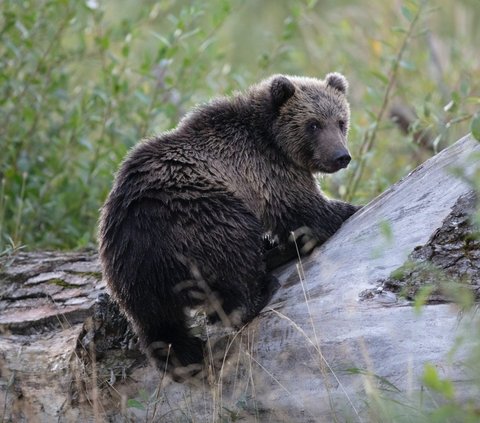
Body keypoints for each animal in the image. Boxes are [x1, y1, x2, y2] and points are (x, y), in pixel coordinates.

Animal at [98, 73, 360, 374]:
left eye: (341, 121)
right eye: (313, 124)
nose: (341, 156)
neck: (272, 138)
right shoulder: (266, 170)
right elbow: (305, 212)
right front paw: (347, 208)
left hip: (129, 272)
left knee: (159, 323)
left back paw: (184, 354)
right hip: (202, 215)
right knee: (235, 258)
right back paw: (262, 286)